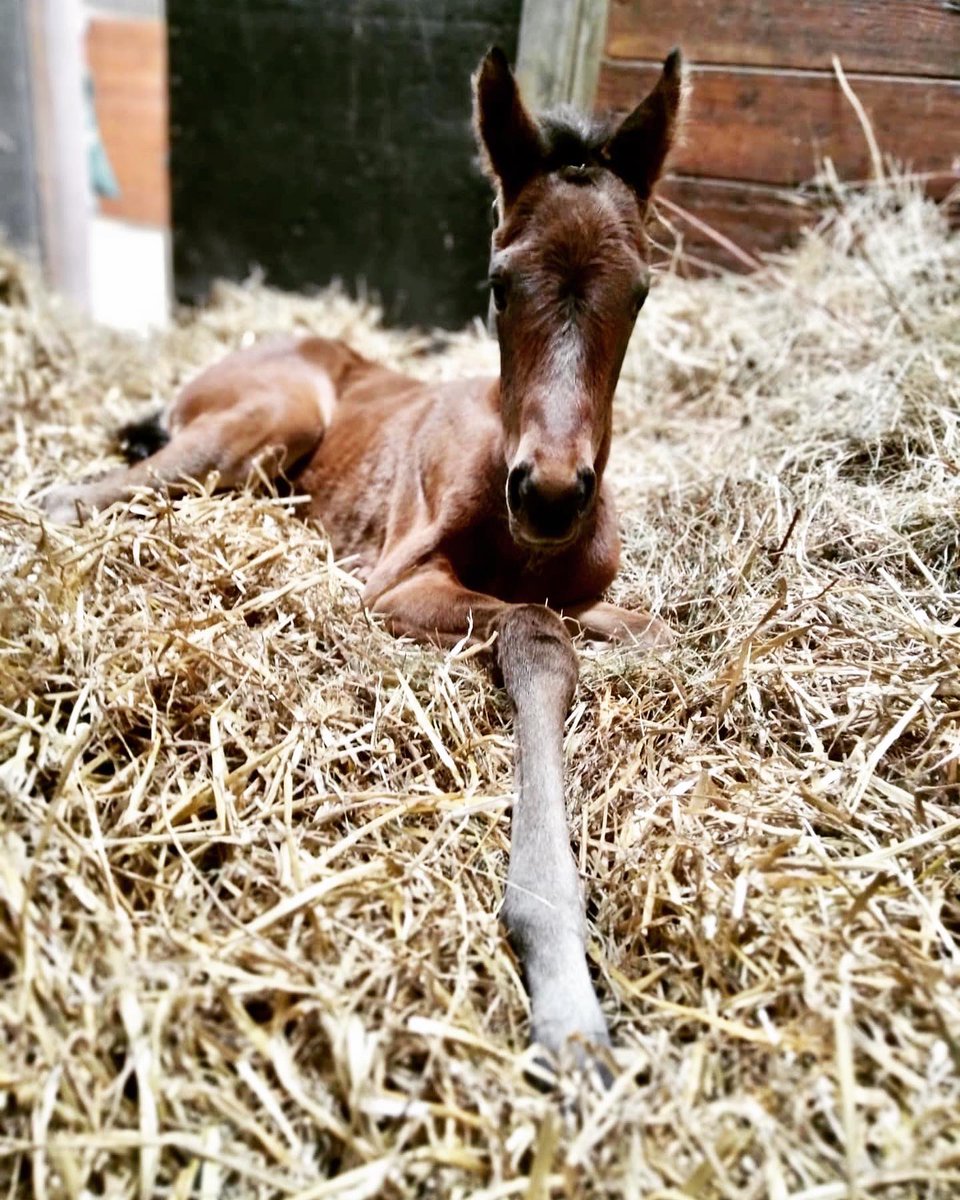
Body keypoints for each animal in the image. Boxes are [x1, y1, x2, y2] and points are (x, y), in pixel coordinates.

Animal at [39, 46, 687, 1073]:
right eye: (500, 282)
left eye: (640, 291)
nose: (549, 492)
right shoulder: (394, 583)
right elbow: (537, 638)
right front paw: (566, 990)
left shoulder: (596, 598)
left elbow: (653, 633)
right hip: (267, 420)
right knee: (76, 494)